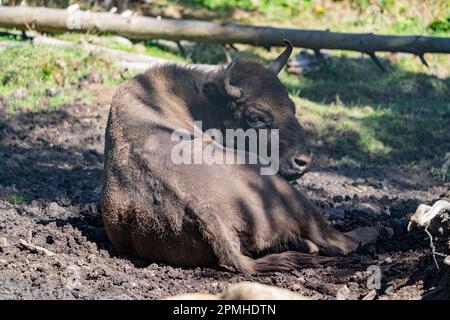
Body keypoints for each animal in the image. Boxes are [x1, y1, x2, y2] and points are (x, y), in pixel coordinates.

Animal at [102, 41, 390, 274]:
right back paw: (376, 230)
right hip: (280, 187)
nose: (302, 161)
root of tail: (206, 212)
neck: (199, 102)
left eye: (292, 107)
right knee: (337, 242)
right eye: (256, 117)